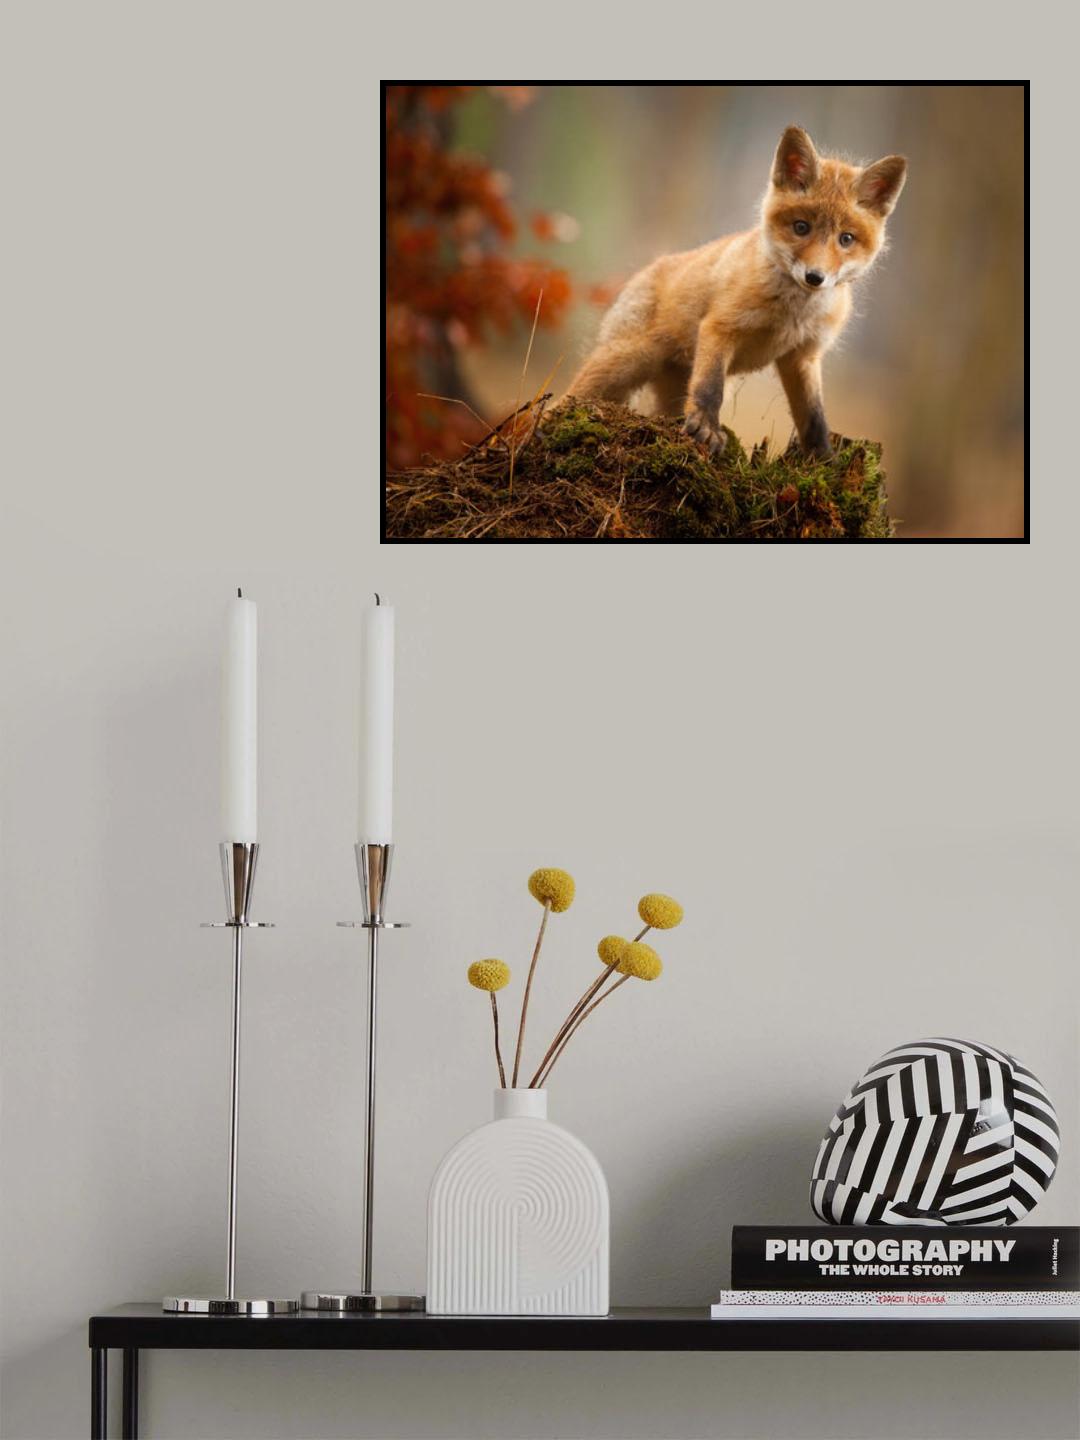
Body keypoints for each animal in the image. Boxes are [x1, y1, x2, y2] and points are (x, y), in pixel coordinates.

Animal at [568, 126, 907, 460]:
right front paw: (706, 429)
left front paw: (822, 459)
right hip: (624, 362)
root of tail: (646, 269)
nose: (815, 277)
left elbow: (814, 416)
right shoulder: (720, 328)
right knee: (569, 397)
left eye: (846, 239)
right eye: (801, 227)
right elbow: (709, 388)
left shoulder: (803, 356)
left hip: (669, 389)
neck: (792, 314)